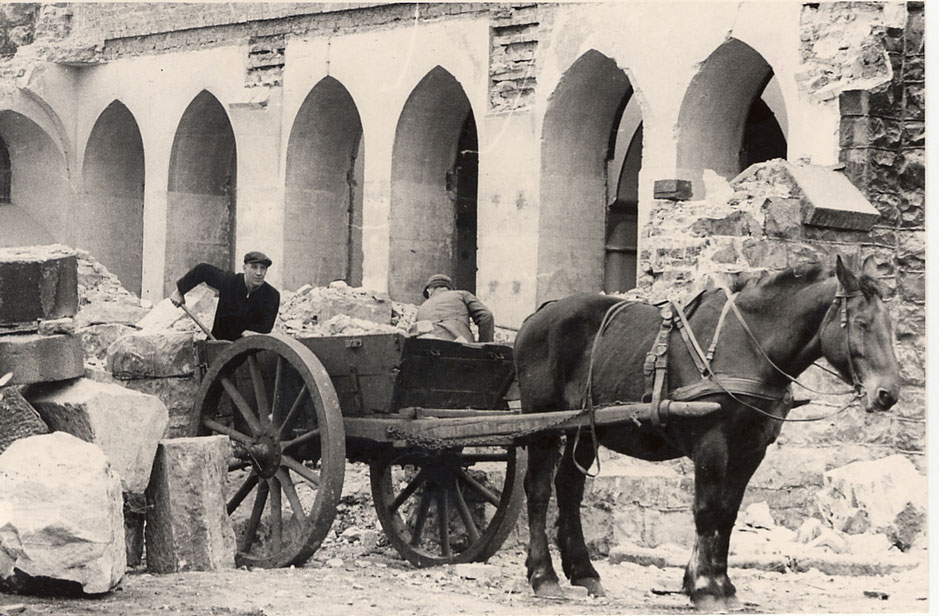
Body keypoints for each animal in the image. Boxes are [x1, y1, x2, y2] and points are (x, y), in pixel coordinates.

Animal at [516, 256, 904, 612]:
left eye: (890, 325)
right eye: (861, 323)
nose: (887, 393)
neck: (749, 346)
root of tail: (538, 316)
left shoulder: (751, 450)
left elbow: (728, 514)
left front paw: (722, 584)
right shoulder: (711, 443)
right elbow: (707, 510)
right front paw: (704, 587)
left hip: (583, 428)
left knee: (568, 488)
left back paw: (583, 571)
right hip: (541, 425)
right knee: (538, 490)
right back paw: (544, 576)